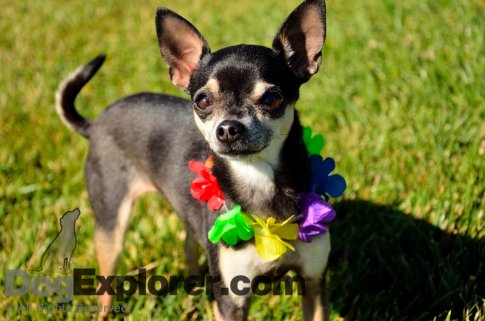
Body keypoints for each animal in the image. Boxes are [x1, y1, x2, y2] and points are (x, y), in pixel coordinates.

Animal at [55, 1, 328, 318]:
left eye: (272, 98)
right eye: (203, 101)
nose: (228, 128)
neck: (259, 180)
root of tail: (95, 123)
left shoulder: (314, 284)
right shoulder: (231, 299)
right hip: (110, 229)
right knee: (106, 289)